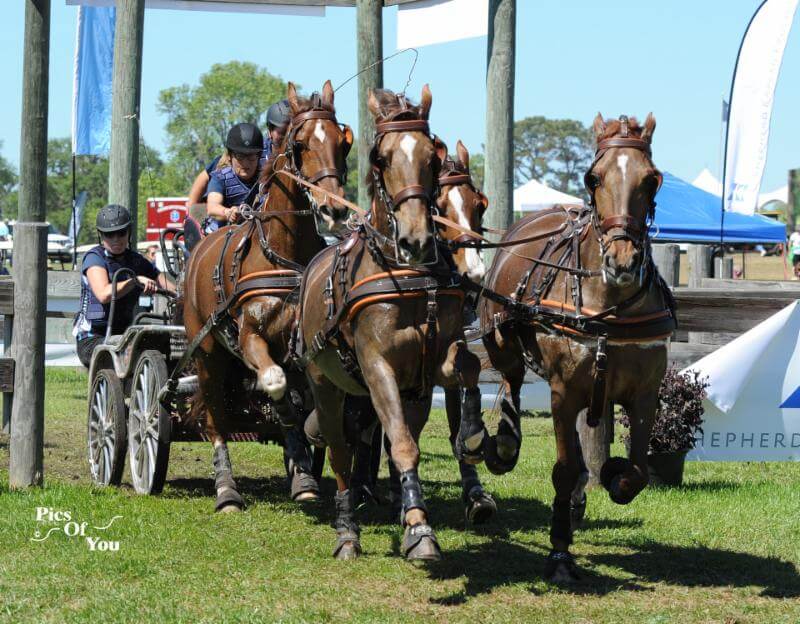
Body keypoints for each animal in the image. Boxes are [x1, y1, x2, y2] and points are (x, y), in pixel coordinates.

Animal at [182, 80, 353, 513]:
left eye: (342, 142)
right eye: (301, 143)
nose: (334, 209)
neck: (281, 252)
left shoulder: (304, 341)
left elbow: (300, 397)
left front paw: (305, 455)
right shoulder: (248, 337)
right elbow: (274, 382)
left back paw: (302, 473)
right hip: (207, 351)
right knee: (216, 417)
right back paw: (226, 490)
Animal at [298, 86, 486, 561]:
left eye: (433, 157)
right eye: (380, 158)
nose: (416, 239)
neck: (407, 274)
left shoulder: (431, 363)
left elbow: (470, 369)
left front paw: (476, 436)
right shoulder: (376, 364)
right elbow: (400, 444)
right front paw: (419, 528)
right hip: (324, 382)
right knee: (340, 452)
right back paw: (348, 529)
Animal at [479, 113, 676, 581]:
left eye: (652, 179)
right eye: (593, 177)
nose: (622, 262)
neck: (608, 309)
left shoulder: (644, 395)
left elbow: (637, 471)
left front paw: (612, 477)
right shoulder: (563, 393)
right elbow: (564, 469)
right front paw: (559, 553)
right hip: (501, 340)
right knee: (512, 381)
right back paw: (506, 445)